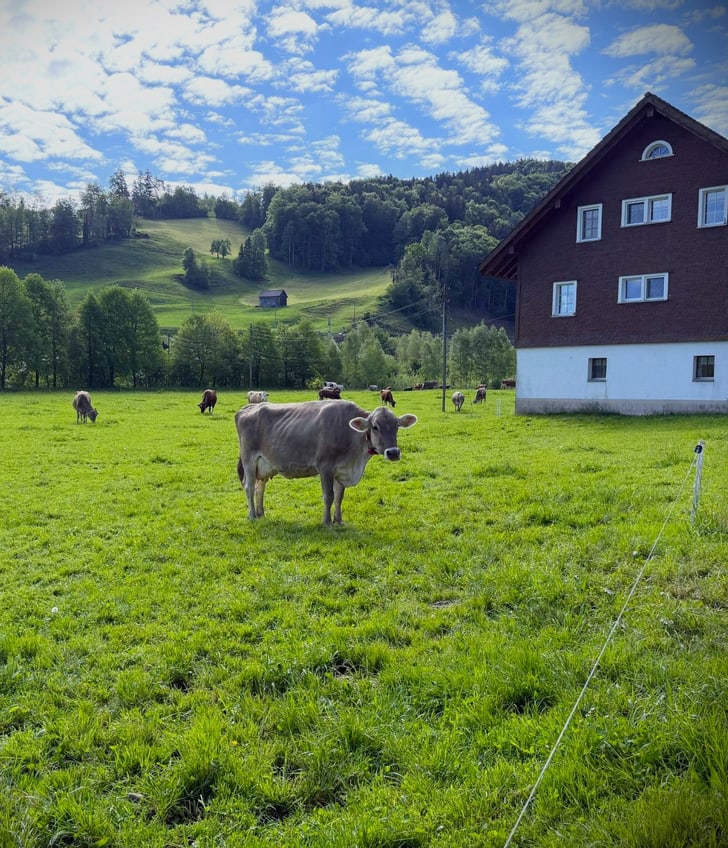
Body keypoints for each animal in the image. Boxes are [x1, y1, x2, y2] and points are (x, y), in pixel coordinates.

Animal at [235, 400, 417, 525]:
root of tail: (248, 408)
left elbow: (339, 497)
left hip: (264, 466)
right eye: (375, 427)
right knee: (249, 487)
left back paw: (261, 513)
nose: (393, 452)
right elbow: (328, 496)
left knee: (260, 488)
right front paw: (327, 522)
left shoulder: (341, 470)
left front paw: (339, 520)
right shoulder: (325, 467)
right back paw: (252, 515)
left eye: (397, 426)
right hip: (249, 460)